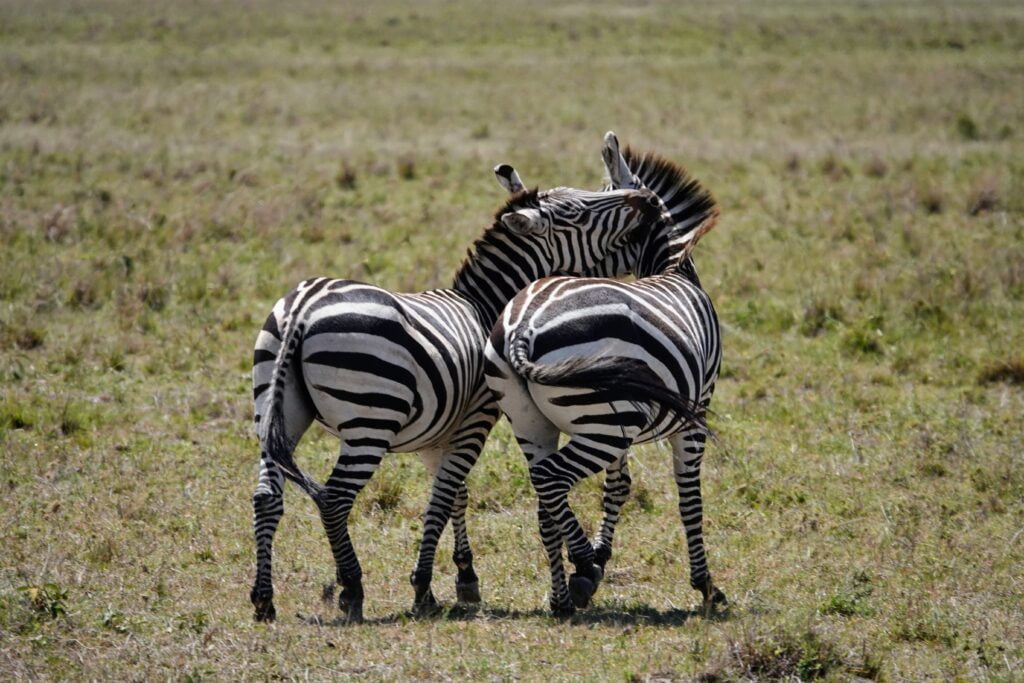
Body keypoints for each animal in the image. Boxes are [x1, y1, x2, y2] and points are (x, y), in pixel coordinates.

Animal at [248, 179, 663, 622]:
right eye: (577, 213)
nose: (648, 199)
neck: (485, 307)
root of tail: (302, 307)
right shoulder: (475, 420)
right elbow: (443, 497)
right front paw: (424, 588)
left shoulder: (435, 436)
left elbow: (455, 494)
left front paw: (464, 575)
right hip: (368, 422)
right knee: (334, 499)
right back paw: (352, 589)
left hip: (277, 410)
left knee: (267, 497)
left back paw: (264, 599)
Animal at [481, 132, 729, 614]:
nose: (644, 204)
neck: (672, 269)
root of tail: (524, 330)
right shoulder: (694, 414)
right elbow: (690, 497)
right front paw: (706, 585)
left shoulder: (622, 428)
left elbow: (618, 485)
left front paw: (599, 552)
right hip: (601, 421)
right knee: (552, 480)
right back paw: (578, 577)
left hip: (551, 419)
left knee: (543, 489)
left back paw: (561, 594)